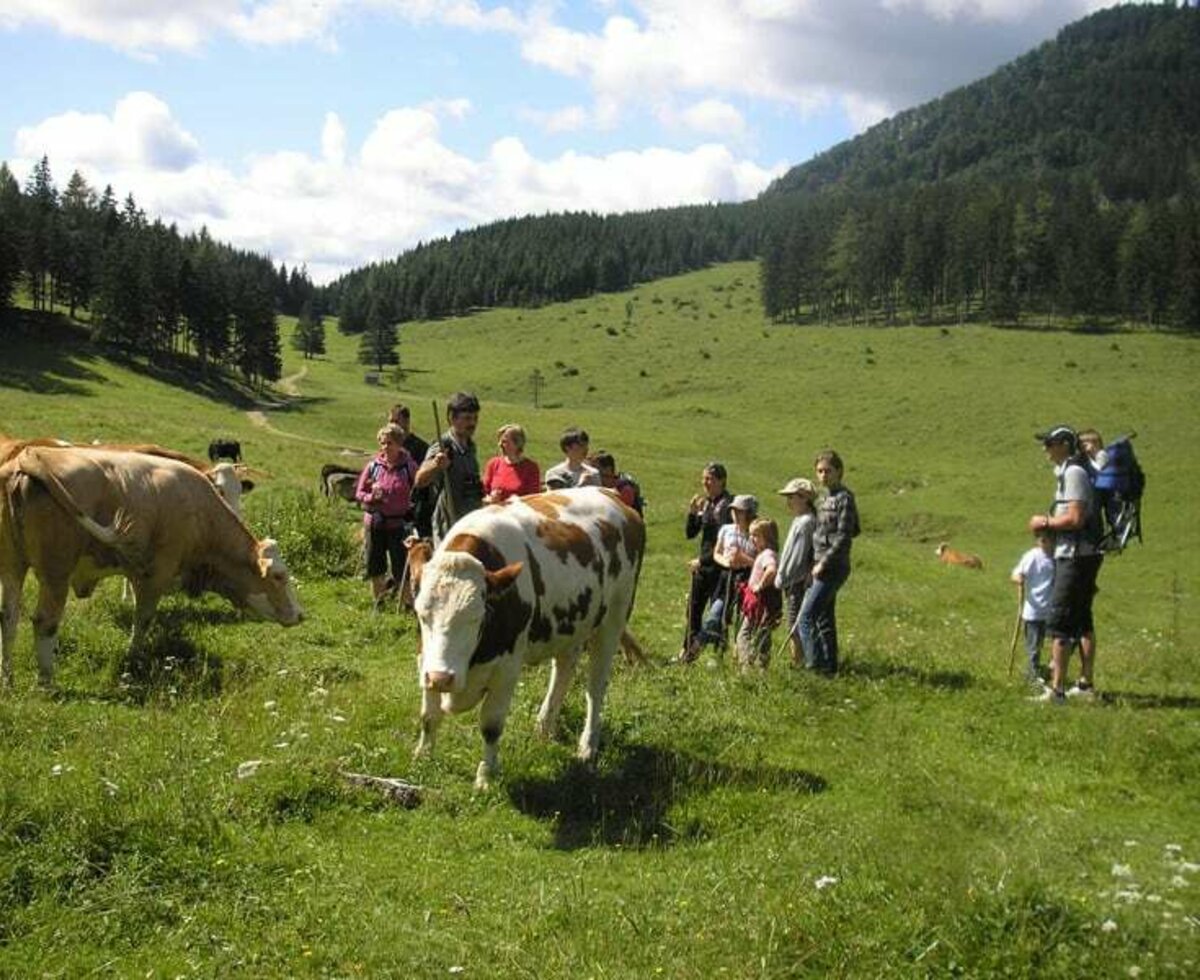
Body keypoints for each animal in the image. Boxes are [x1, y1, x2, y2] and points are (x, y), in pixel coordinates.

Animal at [1, 446, 300, 686]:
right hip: (56, 574)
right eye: (278, 576)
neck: (199, 513)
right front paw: (132, 659)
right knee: (45, 622)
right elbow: (142, 620)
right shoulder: (155, 577)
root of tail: (28, 458)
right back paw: (47, 682)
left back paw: (8, 678)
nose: (300, 614)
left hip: (12, 566)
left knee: (9, 618)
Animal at [412, 487, 643, 786]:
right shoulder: (425, 660)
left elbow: (491, 725)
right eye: (421, 614)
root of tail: (610, 493)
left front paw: (486, 776)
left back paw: (587, 746)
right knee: (564, 671)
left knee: (595, 687)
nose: (442, 678)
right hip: (572, 626)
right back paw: (544, 727)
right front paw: (422, 757)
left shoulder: (506, 670)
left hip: (614, 617)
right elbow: (429, 715)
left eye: (477, 617)